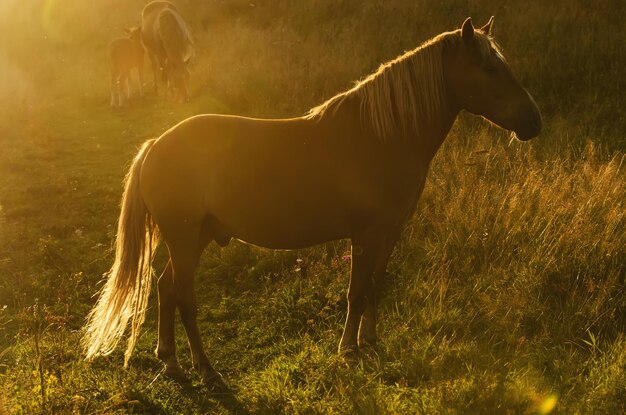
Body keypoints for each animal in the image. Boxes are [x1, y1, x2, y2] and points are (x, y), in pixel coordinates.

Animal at [84, 17, 540, 394]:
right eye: (488, 68)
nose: (533, 121)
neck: (383, 135)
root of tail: (155, 145)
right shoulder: (366, 234)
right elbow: (356, 292)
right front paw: (348, 349)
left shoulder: (390, 232)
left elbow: (375, 288)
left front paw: (370, 342)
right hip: (183, 238)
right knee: (184, 298)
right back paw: (207, 371)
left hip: (196, 237)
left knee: (165, 290)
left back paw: (172, 364)